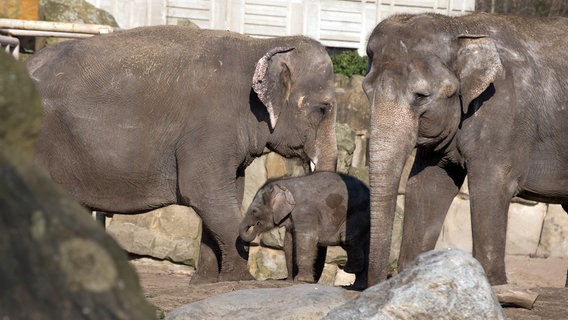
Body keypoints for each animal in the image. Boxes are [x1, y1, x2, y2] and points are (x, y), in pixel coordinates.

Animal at [25, 26, 338, 284]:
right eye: (323, 109)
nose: (295, 279)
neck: (263, 43)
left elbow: (229, 192)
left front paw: (207, 283)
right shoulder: (210, 128)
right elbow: (206, 193)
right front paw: (243, 280)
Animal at [239, 171, 368, 288]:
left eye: (254, 211)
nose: (246, 247)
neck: (285, 183)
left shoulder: (305, 212)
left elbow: (306, 239)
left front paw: (302, 280)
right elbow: (288, 243)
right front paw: (290, 280)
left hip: (359, 213)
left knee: (348, 237)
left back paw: (349, 269)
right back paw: (358, 286)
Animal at [364, 12, 568, 286]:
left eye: (420, 96)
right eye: (366, 91)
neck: (459, 27)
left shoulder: (503, 114)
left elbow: (490, 190)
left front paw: (494, 285)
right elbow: (427, 186)